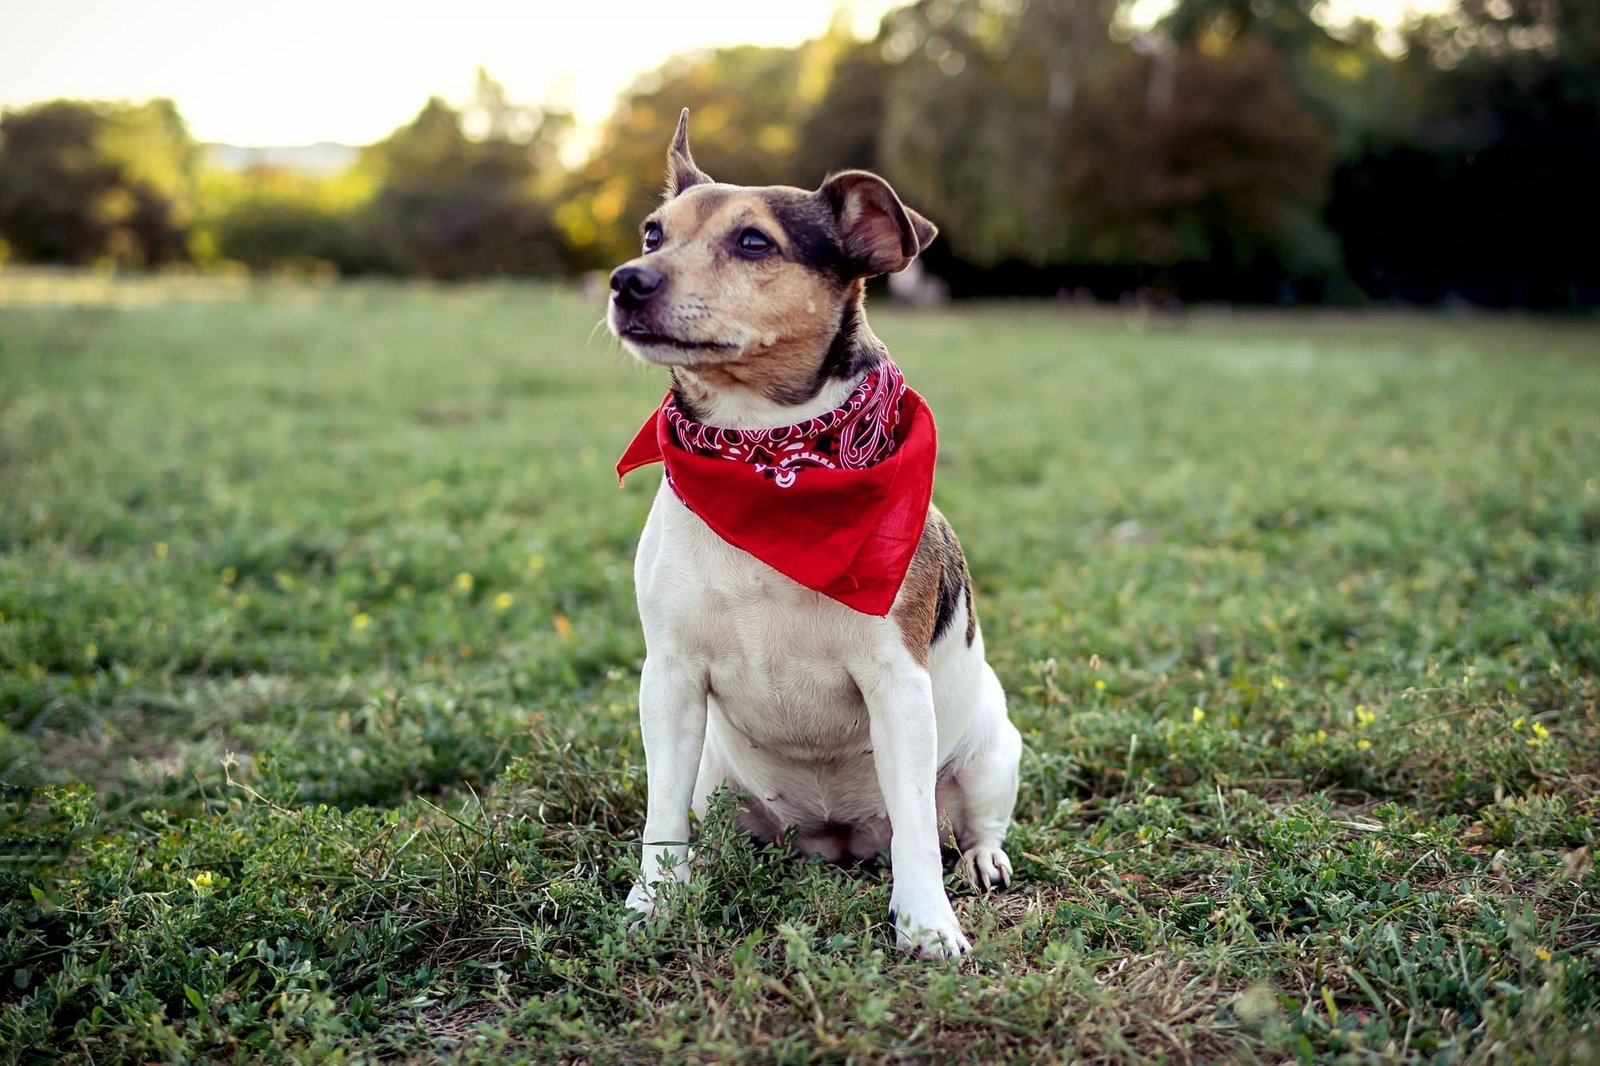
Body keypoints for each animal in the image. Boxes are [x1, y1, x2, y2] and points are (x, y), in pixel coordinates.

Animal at [604, 109, 1017, 953]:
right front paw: (652, 904)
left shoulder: (897, 687)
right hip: (715, 773)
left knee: (965, 821)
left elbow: (919, 831)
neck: (768, 457)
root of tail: (838, 838)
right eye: (653, 233)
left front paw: (926, 923)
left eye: (753, 241)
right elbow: (660, 819)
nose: (627, 279)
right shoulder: (669, 679)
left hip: (994, 749)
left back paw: (981, 860)